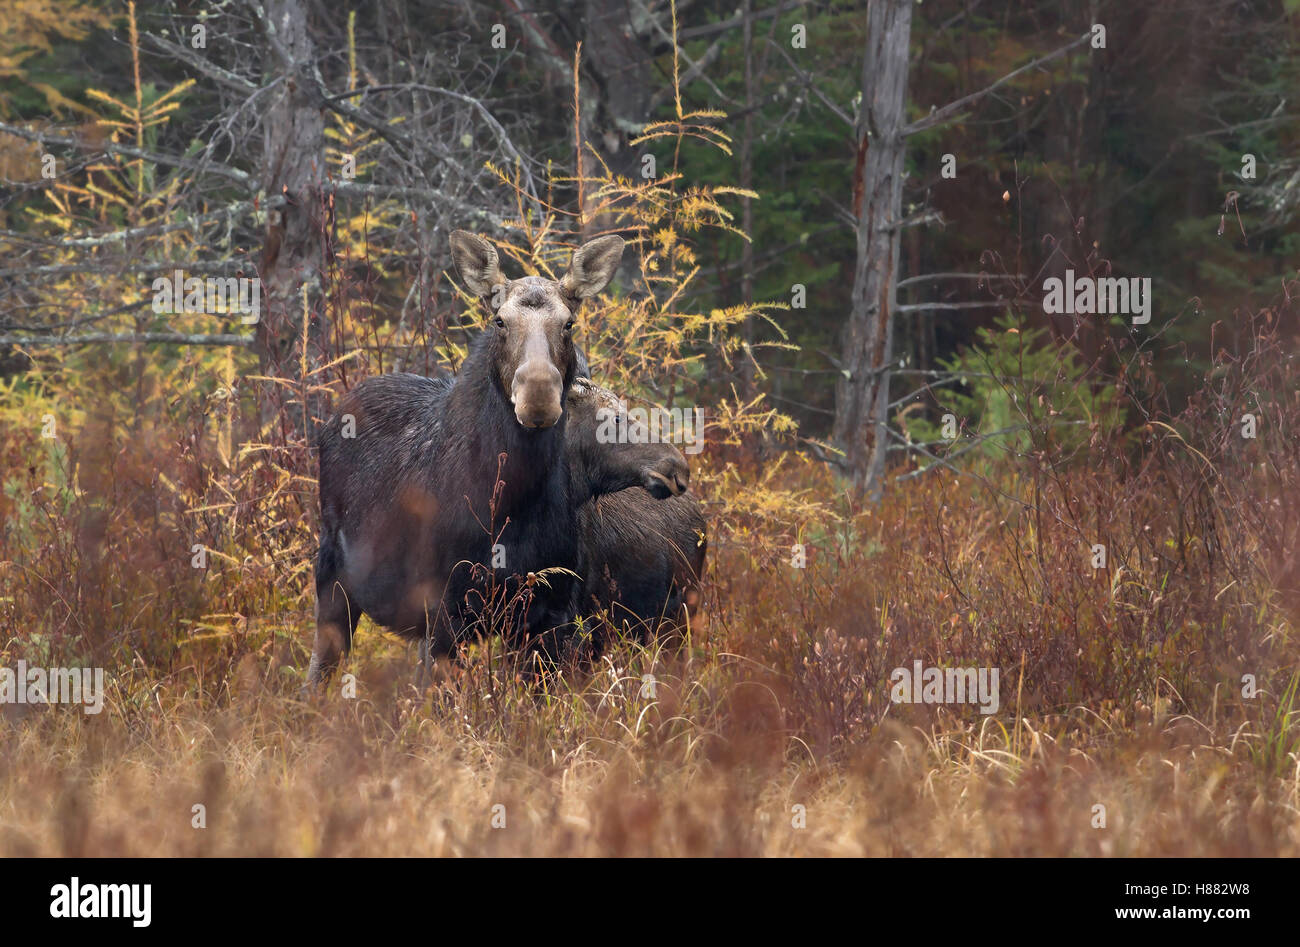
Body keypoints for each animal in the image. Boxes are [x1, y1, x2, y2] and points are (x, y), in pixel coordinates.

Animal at [309, 232, 691, 686]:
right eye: (500, 321)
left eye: (569, 323)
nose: (538, 395)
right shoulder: (441, 615)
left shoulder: (550, 616)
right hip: (332, 580)